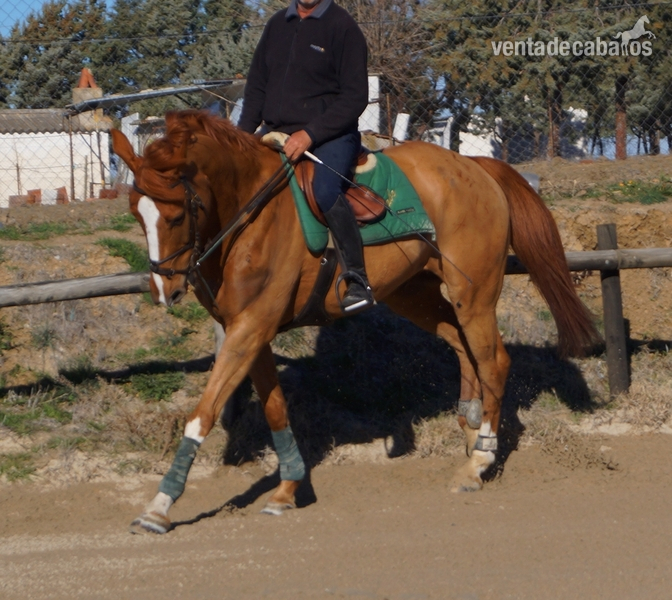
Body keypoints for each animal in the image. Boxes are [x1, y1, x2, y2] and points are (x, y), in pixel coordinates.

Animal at [111, 109, 599, 534]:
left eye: (176, 214)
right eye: (136, 212)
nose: (165, 291)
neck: (249, 218)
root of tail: (474, 166)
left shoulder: (251, 328)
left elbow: (204, 413)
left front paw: (160, 507)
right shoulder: (249, 330)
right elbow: (275, 409)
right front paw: (287, 489)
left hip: (473, 294)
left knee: (493, 360)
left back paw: (479, 462)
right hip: (414, 294)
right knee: (462, 344)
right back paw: (473, 427)